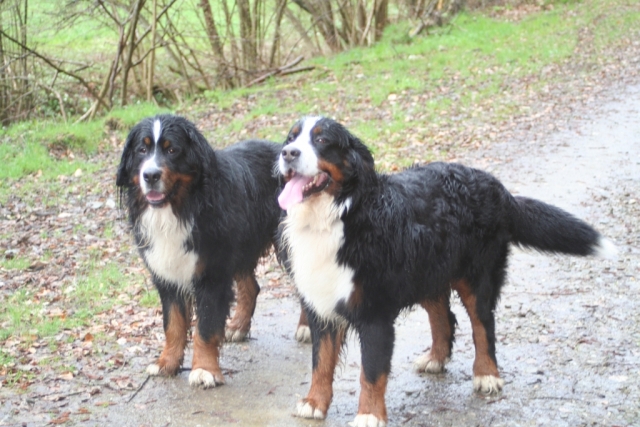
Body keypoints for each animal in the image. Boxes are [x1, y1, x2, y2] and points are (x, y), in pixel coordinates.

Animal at [116, 115, 308, 390]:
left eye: (172, 150)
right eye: (142, 149)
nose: (150, 175)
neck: (181, 209)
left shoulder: (212, 274)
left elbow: (205, 327)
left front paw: (204, 370)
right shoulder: (167, 275)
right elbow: (173, 325)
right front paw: (167, 363)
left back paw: (305, 328)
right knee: (251, 287)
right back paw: (237, 327)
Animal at [278, 115, 616, 426]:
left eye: (322, 140)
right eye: (291, 138)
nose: (287, 153)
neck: (337, 216)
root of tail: (497, 186)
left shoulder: (374, 313)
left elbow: (371, 372)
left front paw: (369, 415)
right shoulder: (320, 304)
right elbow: (321, 362)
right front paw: (314, 403)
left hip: (477, 277)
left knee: (483, 325)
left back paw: (487, 374)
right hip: (429, 271)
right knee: (443, 316)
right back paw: (436, 358)